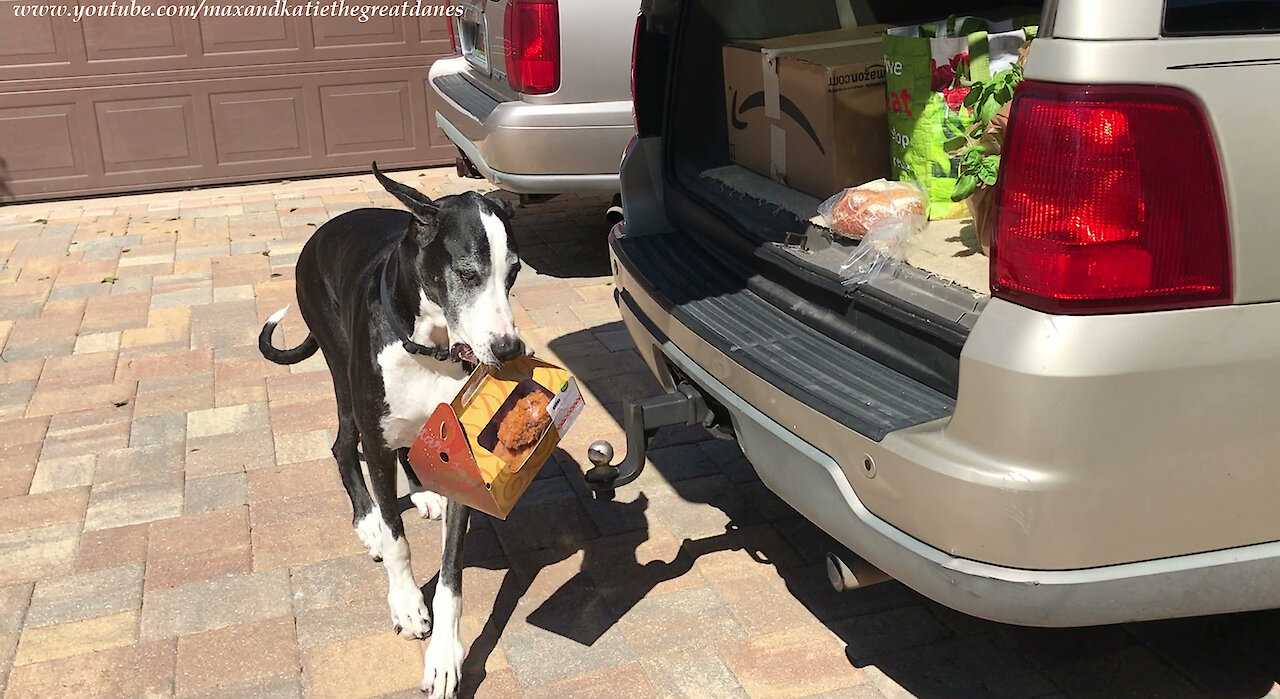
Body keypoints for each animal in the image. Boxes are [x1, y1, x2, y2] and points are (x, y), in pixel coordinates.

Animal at [257, 165, 522, 696]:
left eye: (514, 274)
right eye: (467, 274)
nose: (509, 349)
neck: (431, 345)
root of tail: (325, 229)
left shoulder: (462, 458)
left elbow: (451, 576)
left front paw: (444, 656)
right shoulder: (376, 443)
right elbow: (400, 544)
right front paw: (406, 604)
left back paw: (421, 491)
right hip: (341, 373)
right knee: (342, 446)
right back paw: (368, 522)